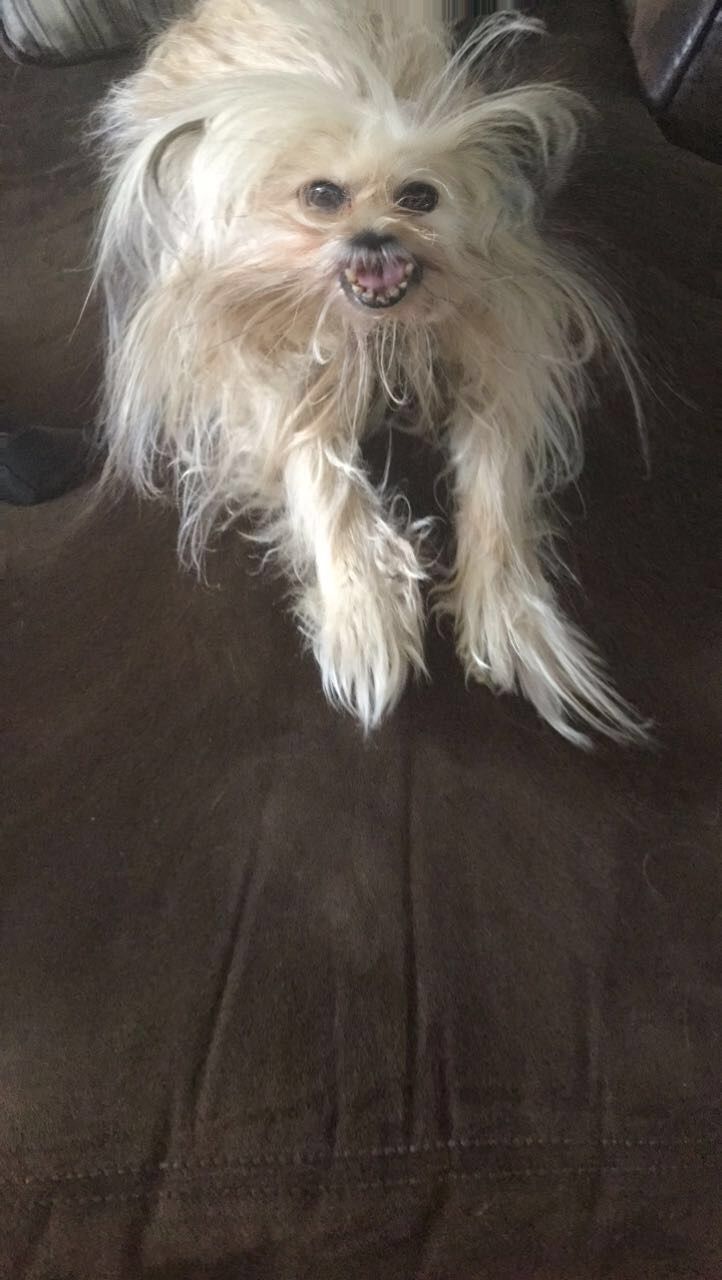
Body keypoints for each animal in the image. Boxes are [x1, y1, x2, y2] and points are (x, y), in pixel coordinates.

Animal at [94, 0, 642, 747]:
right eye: (323, 195)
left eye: (420, 197)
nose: (373, 235)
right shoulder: (246, 365)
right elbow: (314, 462)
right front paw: (364, 612)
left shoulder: (507, 350)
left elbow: (496, 480)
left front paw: (512, 615)